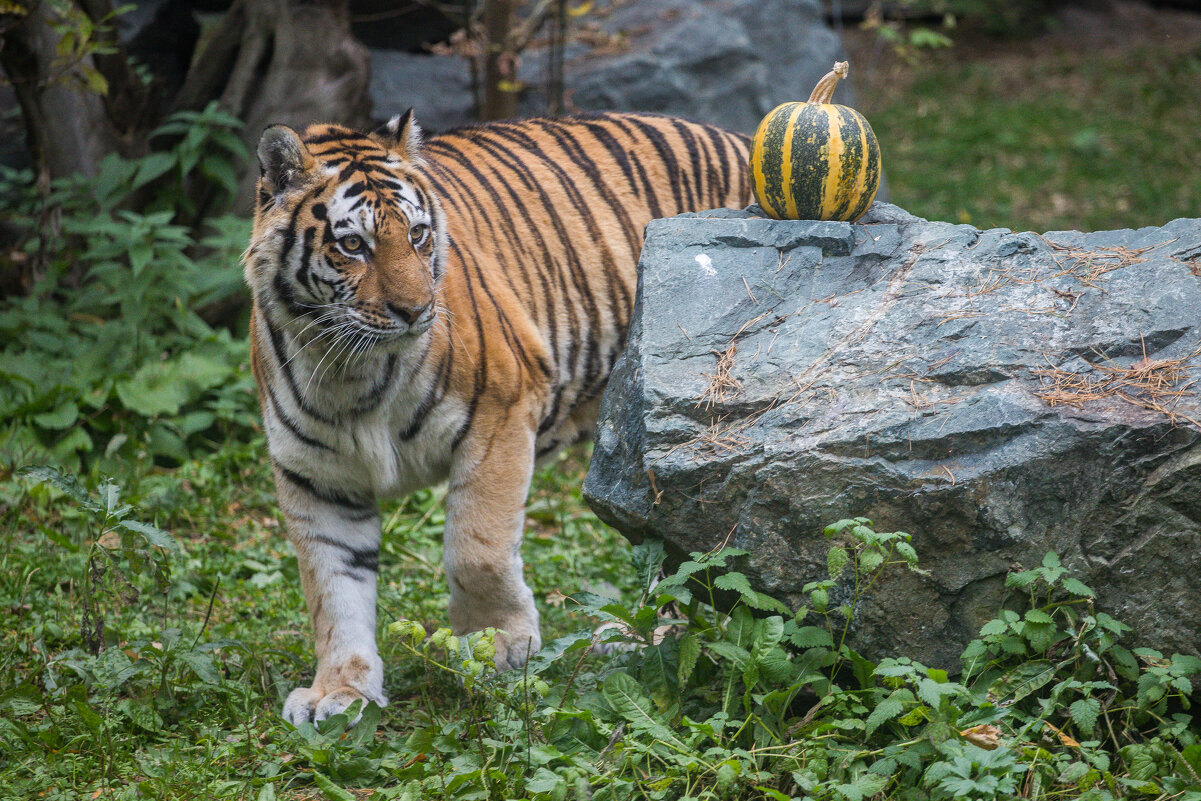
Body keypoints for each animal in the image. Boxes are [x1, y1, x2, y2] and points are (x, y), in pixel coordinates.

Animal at [241, 108, 749, 725]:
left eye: (417, 234)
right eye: (354, 245)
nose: (416, 311)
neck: (352, 371)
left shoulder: (500, 416)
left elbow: (475, 549)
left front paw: (498, 648)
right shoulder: (314, 476)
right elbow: (332, 589)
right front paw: (340, 691)